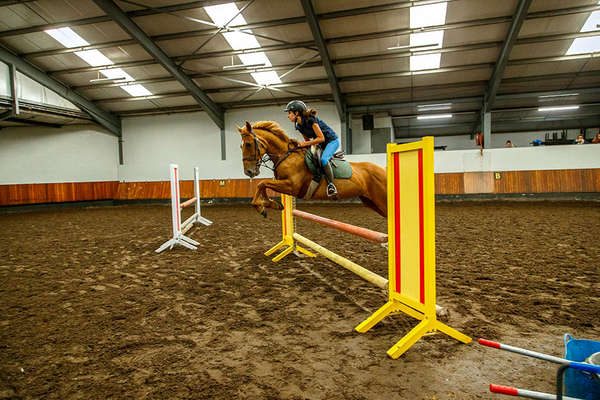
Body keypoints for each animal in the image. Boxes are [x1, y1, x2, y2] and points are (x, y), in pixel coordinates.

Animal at [239, 120, 390, 217]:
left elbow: (262, 183)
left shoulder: (292, 186)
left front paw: (261, 207)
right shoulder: (283, 184)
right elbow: (263, 185)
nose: (249, 172)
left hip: (381, 200)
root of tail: (383, 170)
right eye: (241, 146)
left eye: (248, 144)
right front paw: (271, 204)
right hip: (370, 201)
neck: (286, 155)